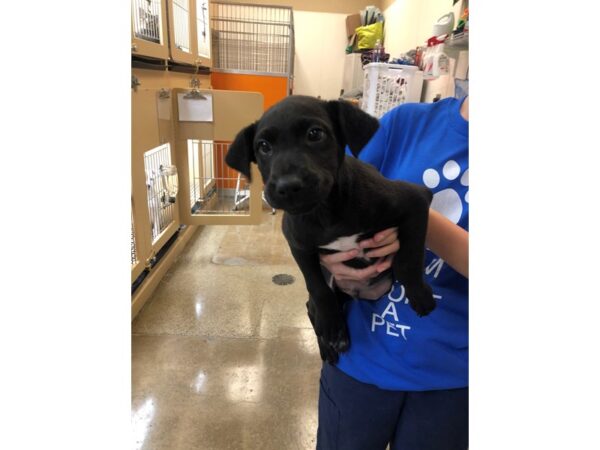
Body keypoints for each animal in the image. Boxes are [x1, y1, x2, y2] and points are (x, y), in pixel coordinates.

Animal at [225, 95, 436, 362]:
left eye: (315, 134)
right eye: (263, 146)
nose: (287, 186)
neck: (326, 212)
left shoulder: (416, 200)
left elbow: (408, 260)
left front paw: (419, 294)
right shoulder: (298, 245)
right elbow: (317, 288)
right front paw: (331, 327)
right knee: (312, 306)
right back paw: (331, 341)